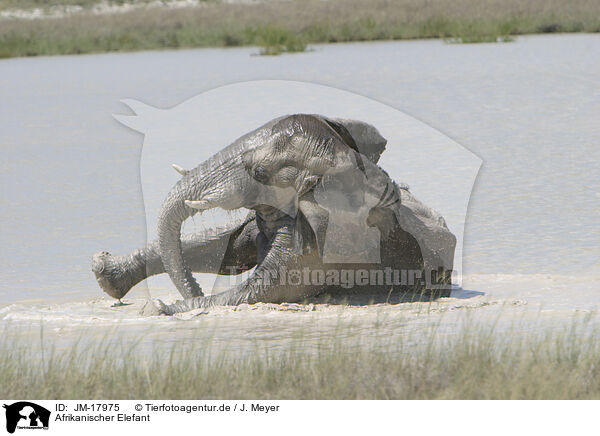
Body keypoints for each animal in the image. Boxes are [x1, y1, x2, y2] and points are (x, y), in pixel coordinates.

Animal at [92, 114, 454, 316]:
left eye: (260, 172)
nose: (193, 291)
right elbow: (228, 251)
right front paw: (104, 270)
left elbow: (257, 291)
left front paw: (160, 308)